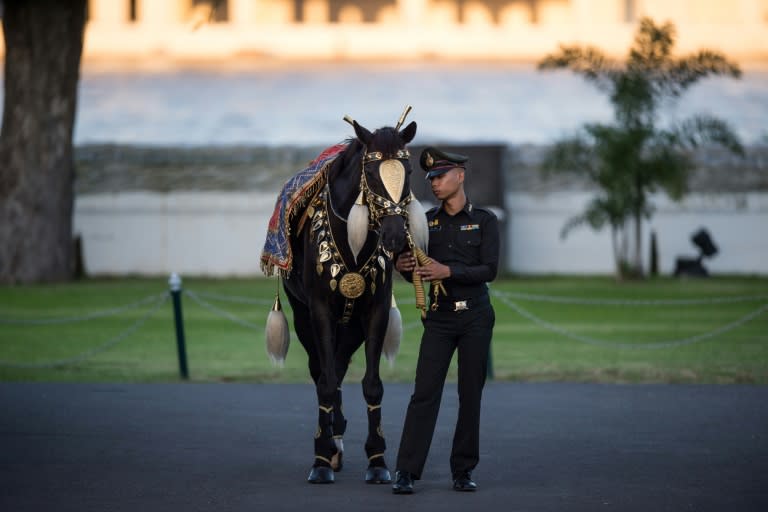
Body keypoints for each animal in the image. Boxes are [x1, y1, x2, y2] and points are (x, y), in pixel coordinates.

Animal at [264, 108, 426, 484]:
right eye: (371, 172)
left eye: (409, 170)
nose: (396, 236)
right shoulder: (320, 309)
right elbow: (324, 381)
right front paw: (321, 461)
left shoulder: (375, 310)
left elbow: (371, 384)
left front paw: (378, 461)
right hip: (304, 314)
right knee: (321, 370)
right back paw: (330, 444)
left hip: (350, 325)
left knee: (337, 365)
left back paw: (337, 437)